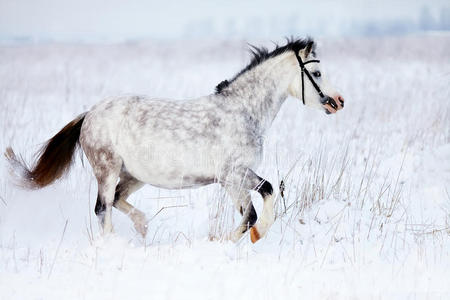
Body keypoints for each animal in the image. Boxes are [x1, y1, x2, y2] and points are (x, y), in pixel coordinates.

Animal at [4, 37, 344, 244]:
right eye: (317, 73)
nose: (338, 102)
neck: (242, 112)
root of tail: (90, 114)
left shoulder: (239, 175)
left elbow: (268, 193)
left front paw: (250, 237)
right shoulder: (231, 176)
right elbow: (251, 214)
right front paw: (234, 240)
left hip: (134, 176)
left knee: (117, 201)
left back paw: (142, 227)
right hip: (107, 169)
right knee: (103, 208)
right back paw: (114, 243)